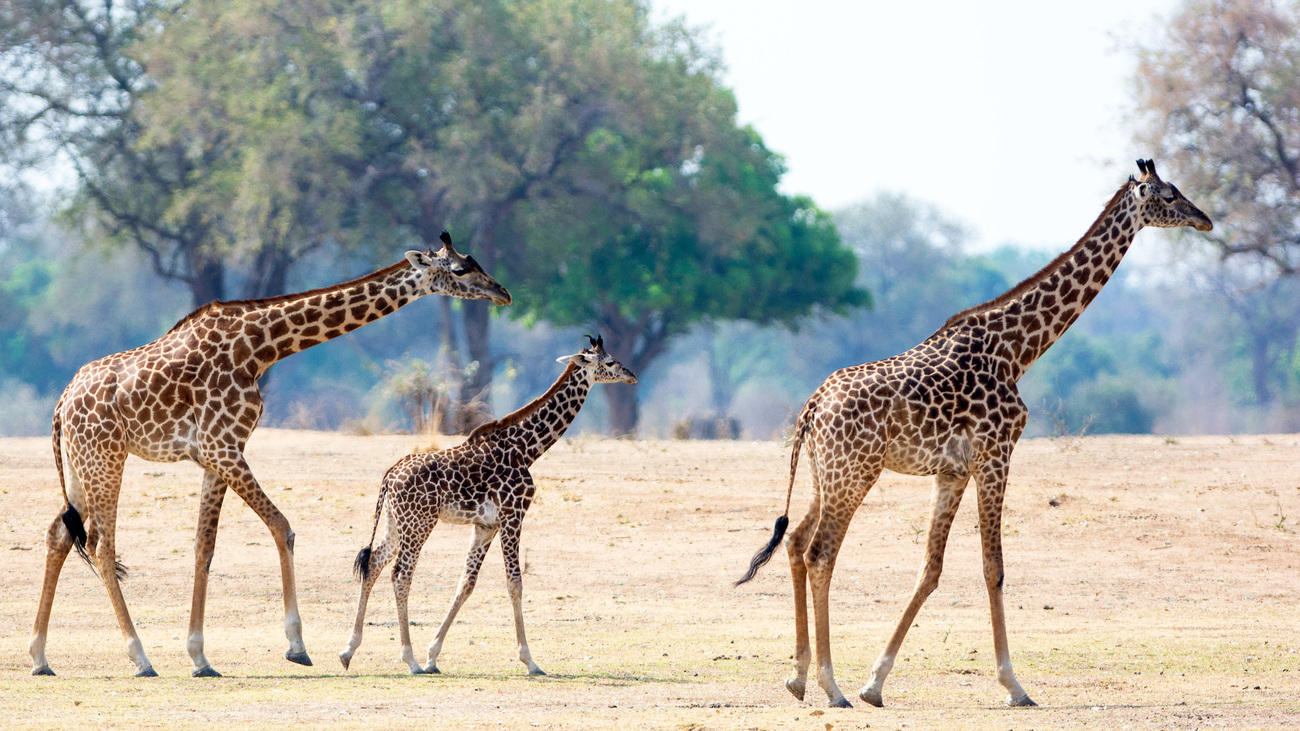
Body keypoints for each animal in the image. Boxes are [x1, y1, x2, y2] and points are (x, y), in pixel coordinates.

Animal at [30, 230, 512, 676]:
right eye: (460, 270)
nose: (503, 293)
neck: (261, 349)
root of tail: (62, 403)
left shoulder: (217, 454)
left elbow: (204, 548)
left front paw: (200, 657)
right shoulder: (222, 446)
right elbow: (283, 527)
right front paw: (297, 646)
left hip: (80, 465)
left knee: (59, 535)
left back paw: (39, 657)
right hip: (106, 457)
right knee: (101, 545)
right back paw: (140, 657)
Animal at [340, 332, 634, 676]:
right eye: (610, 362)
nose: (632, 375)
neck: (527, 449)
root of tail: (389, 477)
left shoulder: (485, 525)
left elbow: (466, 583)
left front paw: (433, 656)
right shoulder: (512, 515)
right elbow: (515, 583)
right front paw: (530, 660)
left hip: (395, 522)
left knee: (373, 563)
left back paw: (349, 650)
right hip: (420, 522)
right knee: (401, 574)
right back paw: (408, 659)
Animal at [738, 159, 1211, 707]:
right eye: (1169, 195)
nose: (1205, 220)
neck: (1018, 350)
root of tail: (811, 408)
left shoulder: (953, 472)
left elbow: (931, 568)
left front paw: (876, 682)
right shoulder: (997, 454)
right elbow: (994, 567)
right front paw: (1014, 685)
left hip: (826, 475)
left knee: (795, 543)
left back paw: (797, 677)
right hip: (854, 474)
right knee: (820, 554)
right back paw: (830, 685)